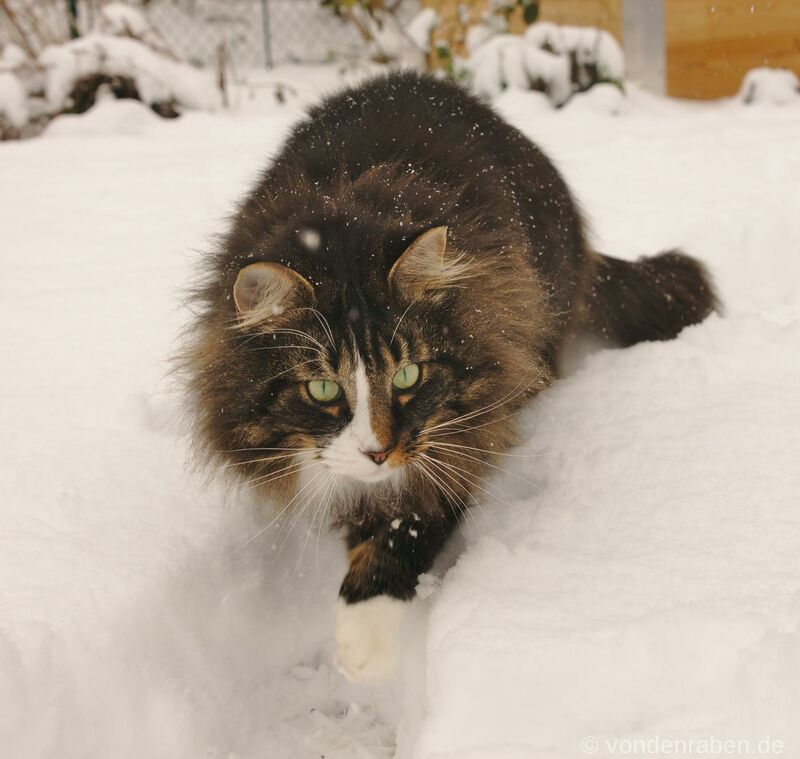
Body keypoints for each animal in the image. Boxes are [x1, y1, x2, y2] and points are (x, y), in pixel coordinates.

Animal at [183, 71, 720, 684]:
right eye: (322, 389)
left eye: (408, 375)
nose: (379, 452)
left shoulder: (474, 416)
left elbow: (413, 521)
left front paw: (364, 643)